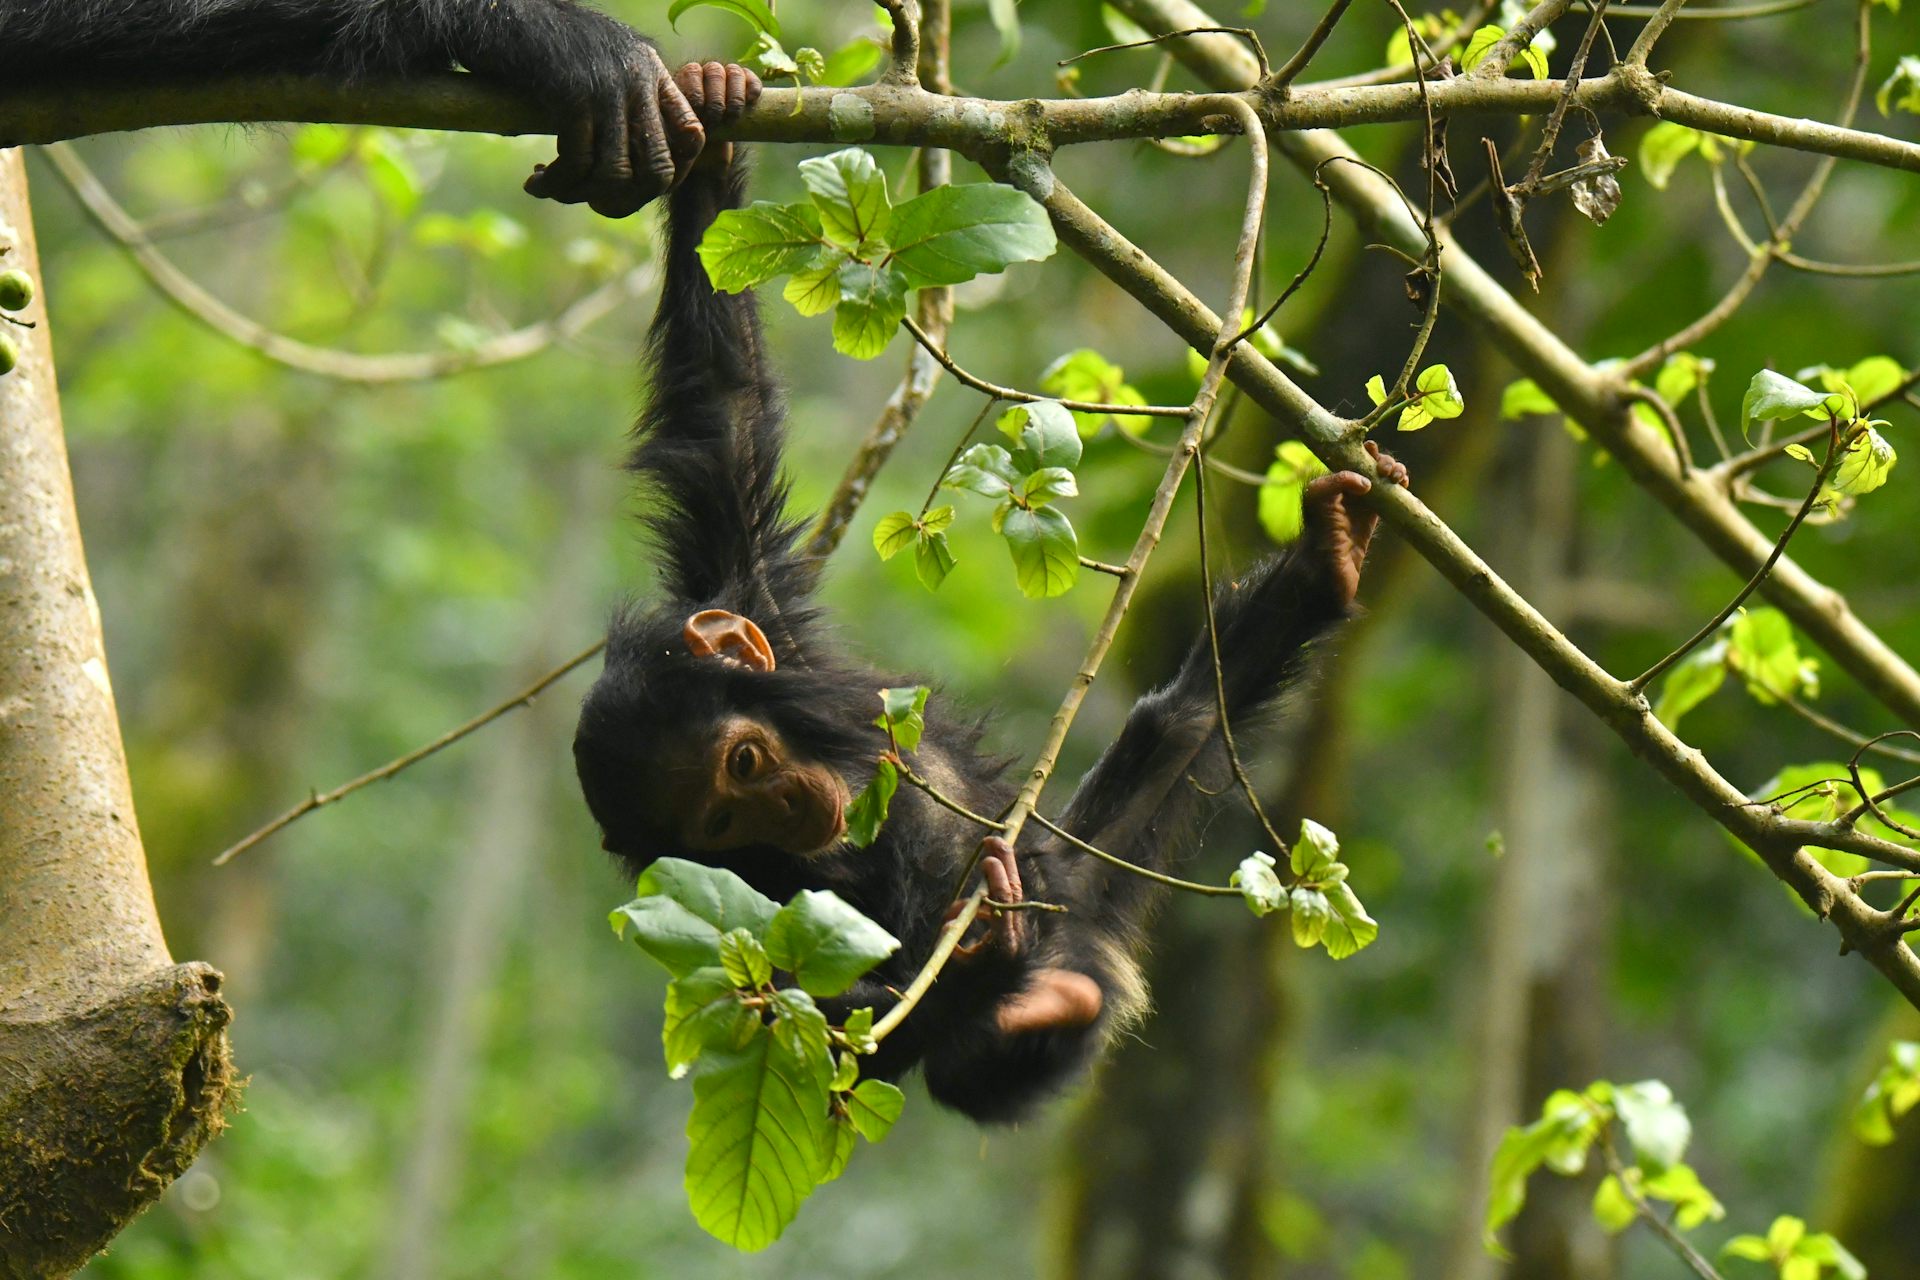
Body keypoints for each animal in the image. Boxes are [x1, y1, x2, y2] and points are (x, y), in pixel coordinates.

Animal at [572, 63, 1411, 1123]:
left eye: (747, 765)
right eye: (723, 827)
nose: (793, 816)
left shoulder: (748, 590)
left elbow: (721, 406)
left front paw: (709, 137)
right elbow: (822, 1029)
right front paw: (961, 967)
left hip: (1083, 880)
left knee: (1181, 724)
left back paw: (1322, 566)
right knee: (947, 1060)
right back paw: (1016, 990)